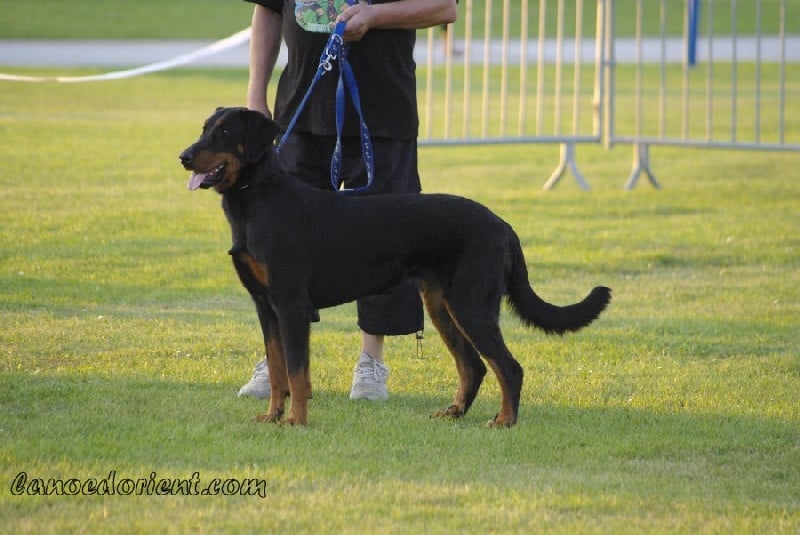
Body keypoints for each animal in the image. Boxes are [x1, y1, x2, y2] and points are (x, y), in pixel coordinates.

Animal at [179, 107, 611, 427]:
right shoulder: (266, 307)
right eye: (204, 130)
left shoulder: (291, 306)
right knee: (473, 366)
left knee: (509, 367)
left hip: (471, 304)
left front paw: (296, 422)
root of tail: (502, 224)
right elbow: (278, 370)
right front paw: (272, 416)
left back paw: (504, 421)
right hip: (442, 305)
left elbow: (298, 375)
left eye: (223, 133)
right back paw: (454, 413)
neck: (258, 198)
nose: (184, 156)